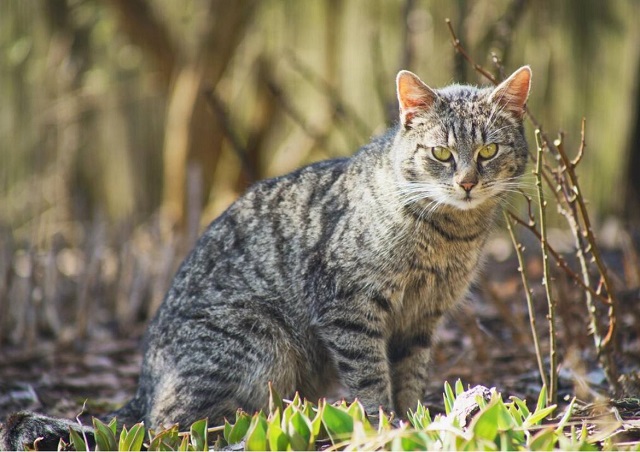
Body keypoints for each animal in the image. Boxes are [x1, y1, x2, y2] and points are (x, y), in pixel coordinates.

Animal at [0, 65, 528, 450]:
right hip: (260, 339)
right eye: (440, 153)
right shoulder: (348, 307)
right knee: (167, 427)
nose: (466, 182)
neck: (451, 234)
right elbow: (370, 379)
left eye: (488, 150)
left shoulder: (422, 319)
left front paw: (416, 423)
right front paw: (384, 428)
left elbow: (410, 378)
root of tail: (142, 384)